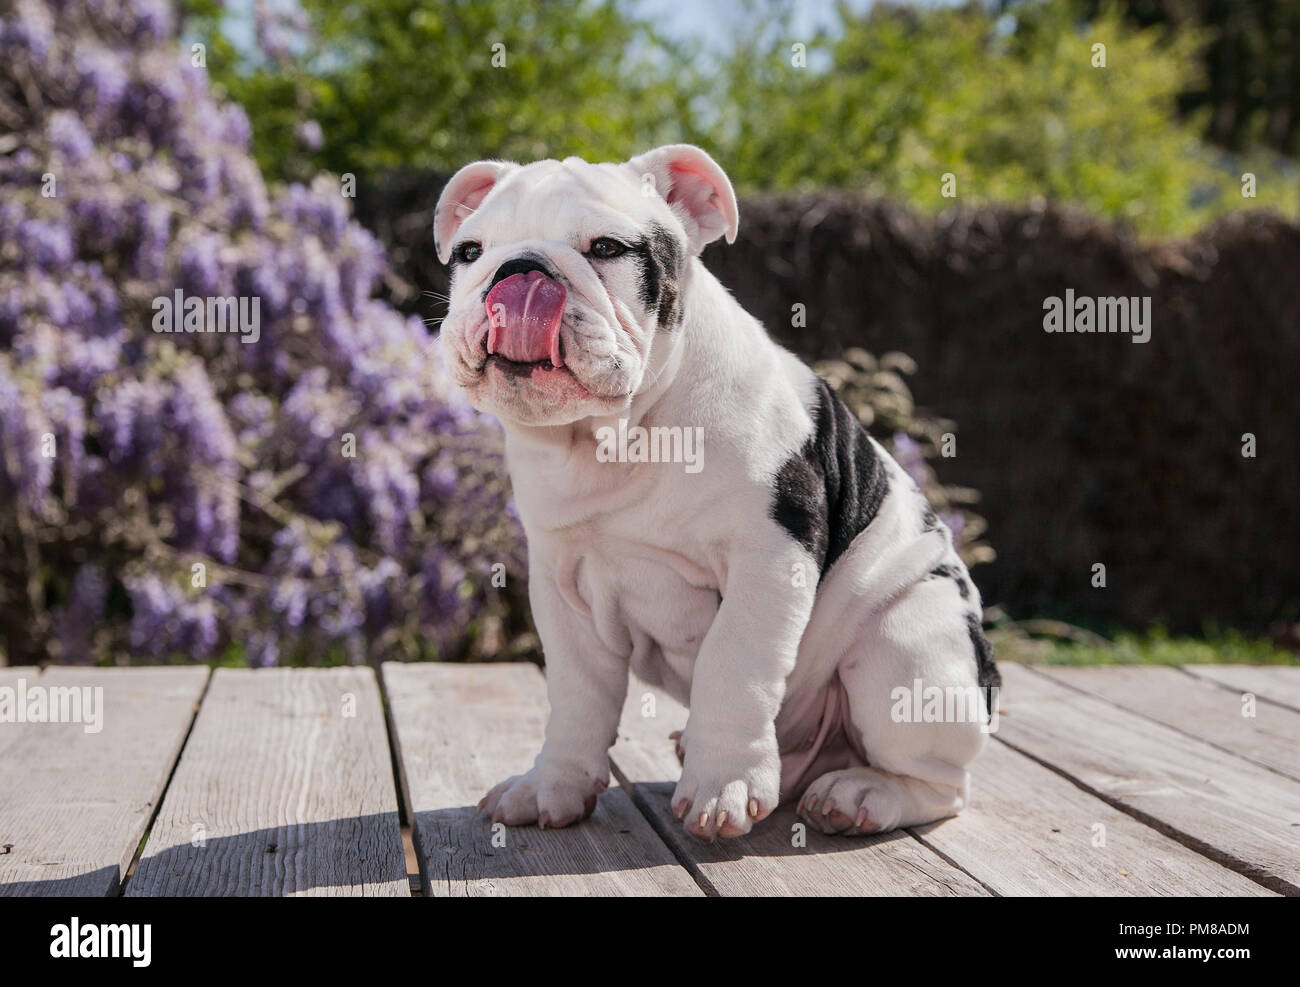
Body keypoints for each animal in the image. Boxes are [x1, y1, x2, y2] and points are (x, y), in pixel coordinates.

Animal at [431, 144, 998, 842]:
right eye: (469, 252)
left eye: (607, 248)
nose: (520, 268)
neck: (618, 439)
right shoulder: (562, 586)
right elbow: (576, 695)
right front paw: (552, 786)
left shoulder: (768, 559)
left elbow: (735, 666)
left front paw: (722, 785)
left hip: (903, 645)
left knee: (943, 783)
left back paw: (863, 793)